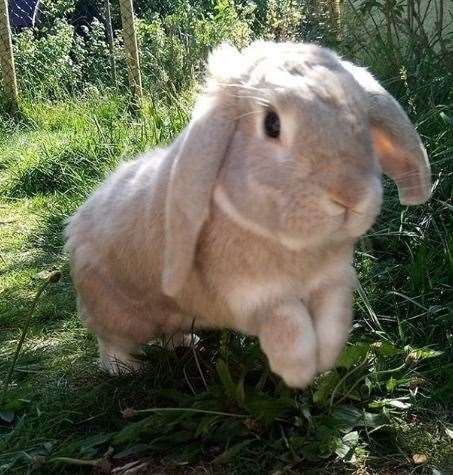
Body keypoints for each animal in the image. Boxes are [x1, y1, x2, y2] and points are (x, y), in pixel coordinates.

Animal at [64, 41, 430, 388]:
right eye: (272, 124)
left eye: (362, 120)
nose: (350, 197)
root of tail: (79, 217)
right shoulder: (251, 297)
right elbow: (289, 323)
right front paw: (297, 373)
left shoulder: (333, 282)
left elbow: (333, 320)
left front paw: (325, 360)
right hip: (115, 309)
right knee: (111, 339)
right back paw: (123, 367)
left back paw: (188, 342)